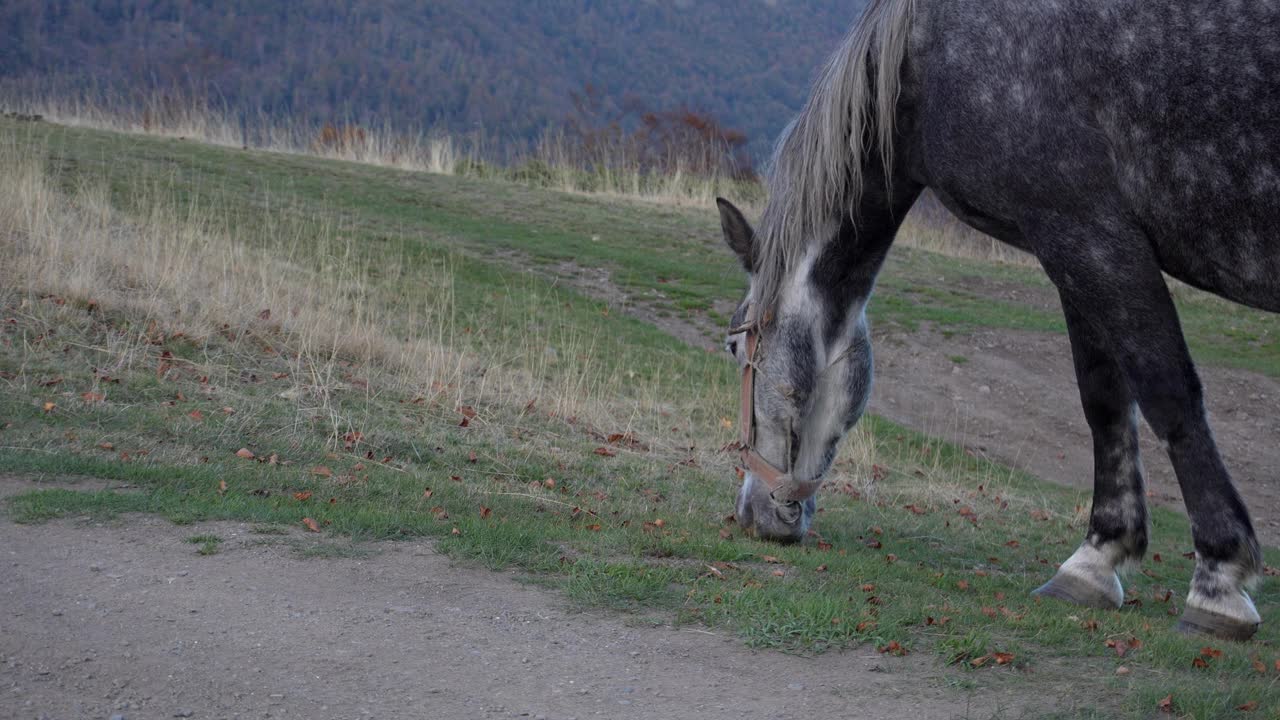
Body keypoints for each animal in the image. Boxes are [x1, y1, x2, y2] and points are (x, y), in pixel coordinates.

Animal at [721, 0, 1280, 638]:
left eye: (735, 350)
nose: (752, 515)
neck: (928, 56)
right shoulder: (1072, 249)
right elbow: (1105, 402)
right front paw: (1096, 558)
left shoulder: (1093, 232)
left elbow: (1168, 395)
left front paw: (1219, 577)